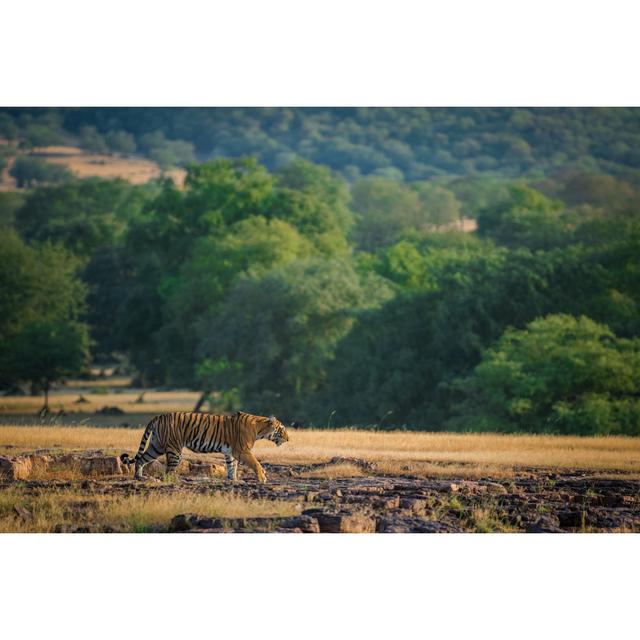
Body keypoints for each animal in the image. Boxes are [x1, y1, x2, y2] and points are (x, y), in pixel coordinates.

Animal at [120, 412, 290, 482]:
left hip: (156, 446)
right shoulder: (242, 451)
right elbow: (256, 463)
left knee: (141, 459)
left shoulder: (231, 452)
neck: (260, 429)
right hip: (174, 450)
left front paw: (233, 479)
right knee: (168, 471)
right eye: (282, 429)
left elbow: (232, 466)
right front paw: (262, 478)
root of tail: (158, 416)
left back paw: (139, 477)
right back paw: (175, 480)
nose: (288, 439)